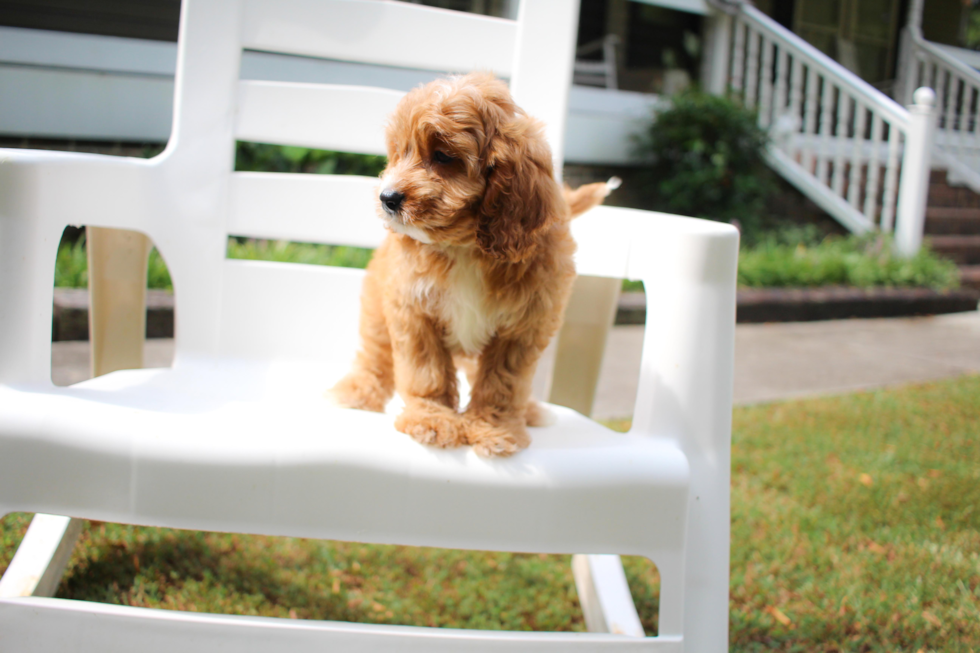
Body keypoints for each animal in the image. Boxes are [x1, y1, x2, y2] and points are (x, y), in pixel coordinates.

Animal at [334, 71, 616, 456]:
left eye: (442, 156)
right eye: (399, 153)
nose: (387, 198)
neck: (466, 246)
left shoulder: (523, 326)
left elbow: (502, 382)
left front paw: (494, 428)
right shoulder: (413, 309)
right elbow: (427, 372)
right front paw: (432, 419)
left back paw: (529, 411)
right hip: (379, 302)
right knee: (375, 351)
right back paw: (359, 391)